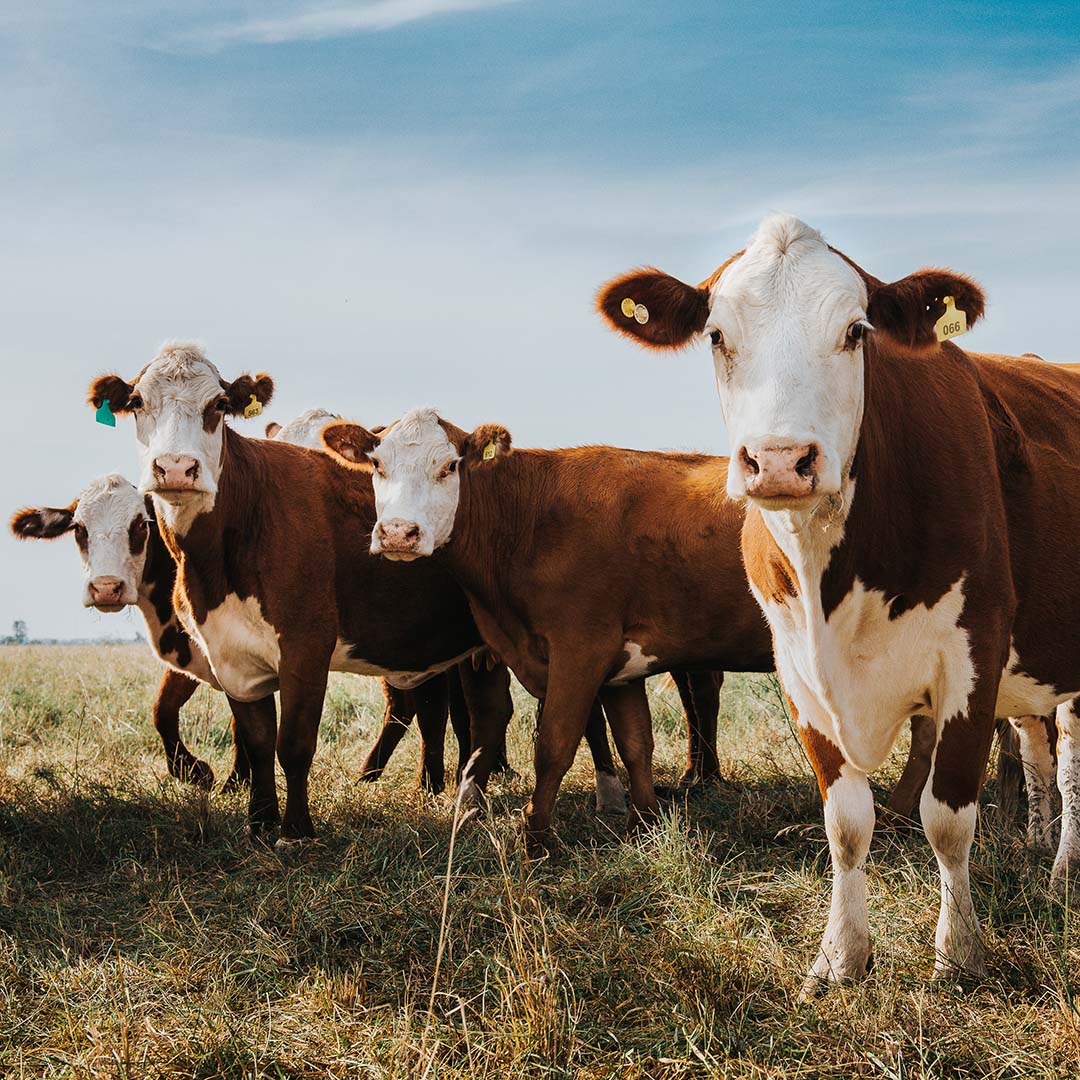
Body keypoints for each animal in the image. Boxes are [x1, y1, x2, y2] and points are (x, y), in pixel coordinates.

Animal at [86, 343, 528, 847]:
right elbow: (257, 740)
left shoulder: (305, 646)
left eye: (218, 405)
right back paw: (468, 798)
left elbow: (294, 743)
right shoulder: (231, 654)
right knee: (484, 712)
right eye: (138, 402)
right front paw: (259, 821)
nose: (175, 468)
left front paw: (296, 831)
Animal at [319, 408, 778, 851]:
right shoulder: (621, 668)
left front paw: (536, 837)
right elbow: (635, 743)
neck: (529, 520)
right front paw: (642, 827)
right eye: (377, 465)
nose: (398, 533)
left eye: (449, 466)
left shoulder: (582, 649)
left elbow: (554, 745)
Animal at [595, 213, 1079, 992]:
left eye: (856, 331)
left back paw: (1063, 872)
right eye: (716, 335)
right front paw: (841, 957)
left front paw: (958, 953)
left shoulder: (973, 656)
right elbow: (845, 822)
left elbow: (948, 817)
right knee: (1043, 755)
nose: (780, 460)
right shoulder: (797, 669)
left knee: (1068, 761)